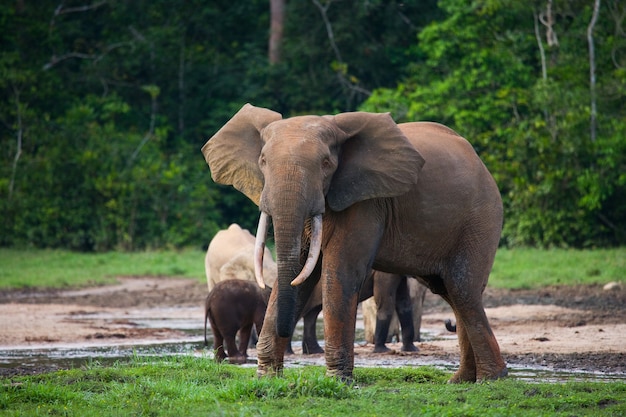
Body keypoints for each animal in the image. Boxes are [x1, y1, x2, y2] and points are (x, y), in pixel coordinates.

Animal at [204, 102, 508, 382]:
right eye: (263, 161)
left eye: (326, 164)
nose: (284, 333)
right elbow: (300, 273)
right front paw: (267, 377)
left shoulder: (365, 201)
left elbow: (339, 272)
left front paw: (338, 379)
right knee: (450, 292)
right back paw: (461, 380)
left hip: (481, 219)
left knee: (462, 290)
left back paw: (491, 379)